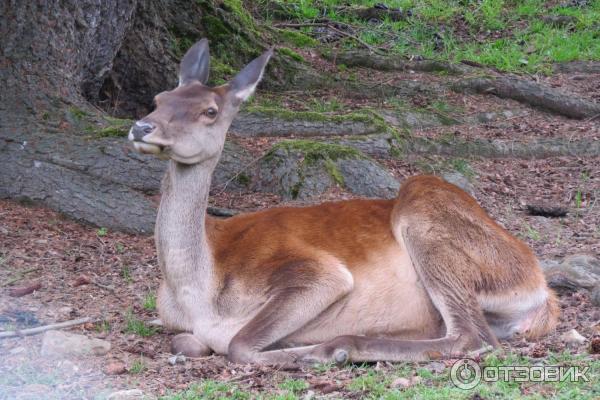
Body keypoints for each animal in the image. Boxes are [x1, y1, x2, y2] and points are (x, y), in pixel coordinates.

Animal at [126, 39, 556, 366]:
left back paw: (339, 347)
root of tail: (542, 289)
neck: (198, 292)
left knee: (473, 337)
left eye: (210, 111)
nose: (141, 127)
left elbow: (239, 344)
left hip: (428, 218)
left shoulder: (317, 271)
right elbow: (184, 340)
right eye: (159, 98)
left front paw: (303, 352)